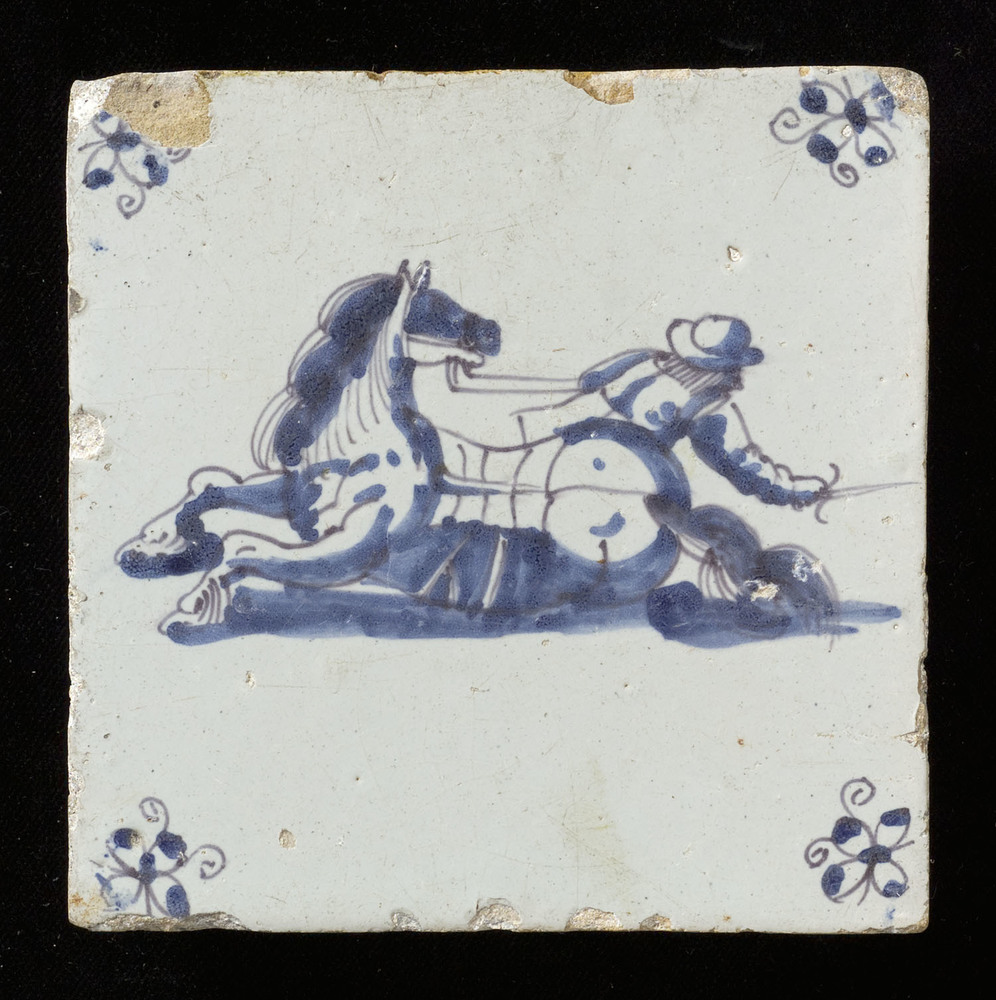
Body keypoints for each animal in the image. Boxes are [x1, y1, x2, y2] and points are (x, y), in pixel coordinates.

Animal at [116, 260, 899, 646]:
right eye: (432, 307)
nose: (489, 332)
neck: (365, 449)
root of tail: (662, 500)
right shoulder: (298, 498)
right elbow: (213, 490)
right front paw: (152, 549)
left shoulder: (346, 552)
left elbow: (243, 548)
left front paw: (189, 612)